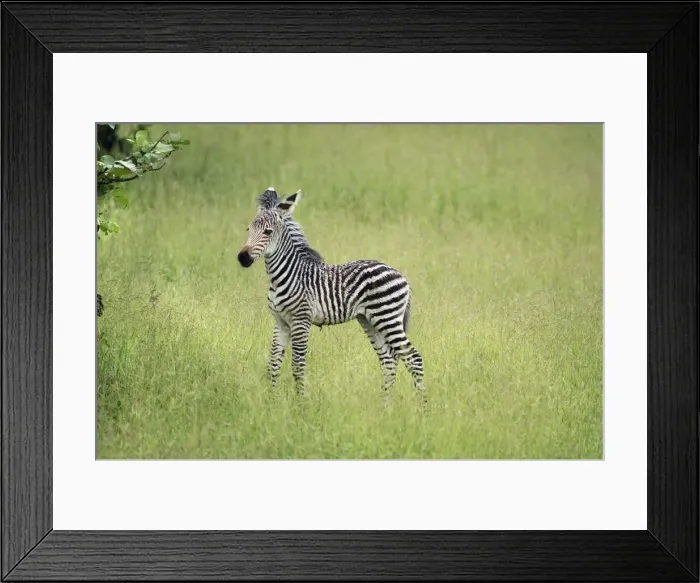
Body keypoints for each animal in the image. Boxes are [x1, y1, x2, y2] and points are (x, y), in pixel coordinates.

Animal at [237, 187, 426, 408]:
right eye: (248, 229)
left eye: (267, 232)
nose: (242, 258)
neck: (285, 275)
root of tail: (402, 276)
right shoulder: (281, 322)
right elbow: (273, 365)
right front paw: (271, 403)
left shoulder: (301, 320)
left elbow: (297, 365)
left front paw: (303, 406)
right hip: (370, 320)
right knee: (389, 360)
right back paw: (384, 408)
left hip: (387, 317)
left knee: (413, 358)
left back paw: (423, 409)